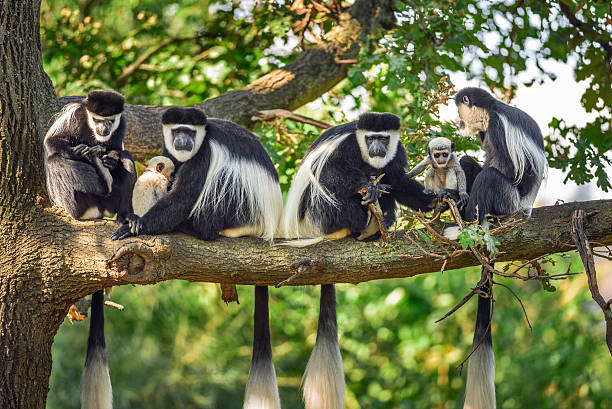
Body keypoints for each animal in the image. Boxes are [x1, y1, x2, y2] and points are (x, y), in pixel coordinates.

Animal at [44, 89, 137, 222]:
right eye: (97, 120)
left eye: (110, 121)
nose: (104, 128)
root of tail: (99, 210)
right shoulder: (74, 115)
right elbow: (52, 140)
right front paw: (76, 152)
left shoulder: (121, 124)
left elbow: (117, 149)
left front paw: (111, 159)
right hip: (83, 203)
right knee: (53, 160)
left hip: (111, 203)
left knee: (126, 155)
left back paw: (125, 215)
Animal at [111, 107, 284, 408]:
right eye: (177, 131)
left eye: (190, 132)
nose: (184, 141)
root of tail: (267, 225)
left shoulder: (204, 154)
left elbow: (182, 197)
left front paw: (137, 225)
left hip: (241, 208)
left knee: (222, 182)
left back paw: (195, 227)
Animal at [280, 111, 438, 408]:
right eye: (370, 138)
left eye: (383, 138)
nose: (376, 148)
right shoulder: (345, 148)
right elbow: (330, 174)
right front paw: (366, 185)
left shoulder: (396, 153)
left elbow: (398, 180)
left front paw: (435, 200)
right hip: (322, 216)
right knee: (331, 192)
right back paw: (364, 219)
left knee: (387, 187)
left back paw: (379, 223)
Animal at [448, 87, 548, 408]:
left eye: (459, 110)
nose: (459, 123)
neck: (492, 110)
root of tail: (524, 207)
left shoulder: (498, 130)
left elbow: (506, 167)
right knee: (470, 165)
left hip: (508, 200)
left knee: (491, 176)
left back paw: (468, 223)